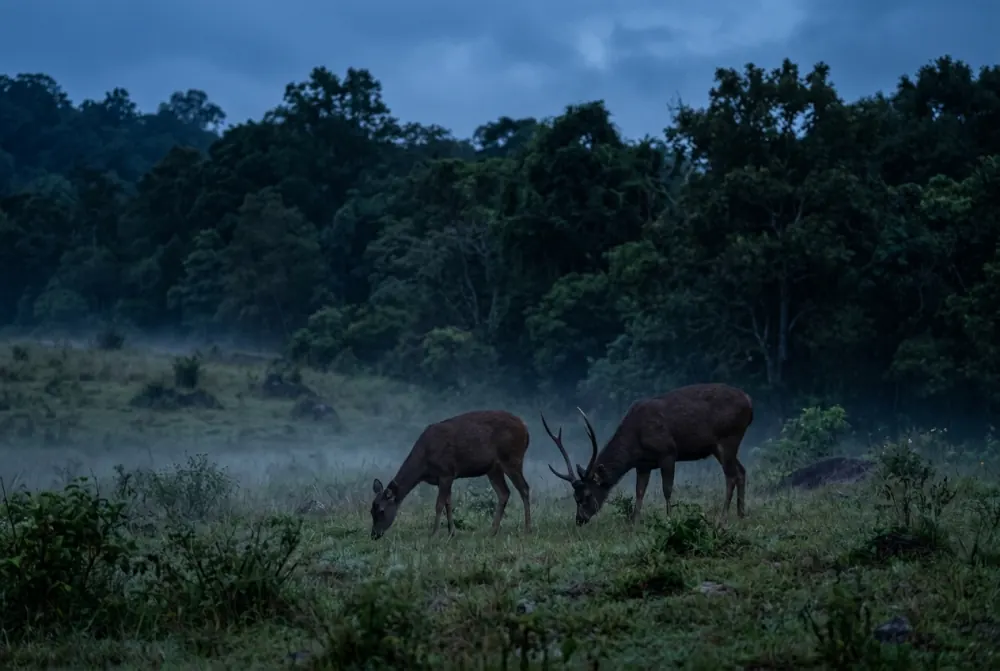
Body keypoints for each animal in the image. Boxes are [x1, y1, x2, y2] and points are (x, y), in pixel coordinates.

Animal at [370, 410, 532, 540]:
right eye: (371, 510)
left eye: (382, 511)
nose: (374, 535)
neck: (424, 465)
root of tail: (525, 429)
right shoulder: (444, 478)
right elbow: (448, 503)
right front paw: (451, 532)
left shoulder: (446, 472)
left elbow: (439, 504)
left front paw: (434, 533)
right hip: (493, 469)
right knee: (504, 493)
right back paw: (492, 531)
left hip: (512, 458)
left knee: (524, 488)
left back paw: (527, 529)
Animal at [541, 383, 753, 526]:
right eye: (574, 496)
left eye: (586, 494)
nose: (580, 519)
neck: (635, 443)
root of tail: (749, 402)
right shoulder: (643, 465)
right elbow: (639, 491)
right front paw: (634, 522)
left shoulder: (668, 452)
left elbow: (667, 489)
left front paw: (669, 519)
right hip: (719, 446)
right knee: (741, 471)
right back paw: (741, 514)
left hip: (729, 437)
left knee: (731, 475)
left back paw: (723, 518)